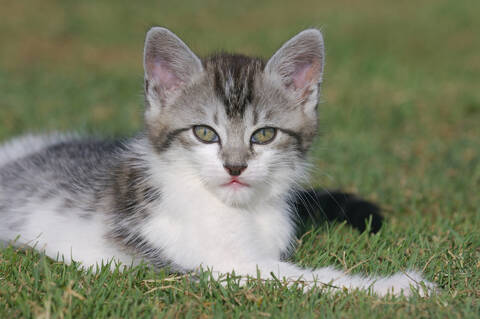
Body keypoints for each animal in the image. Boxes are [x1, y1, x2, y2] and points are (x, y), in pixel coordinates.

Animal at [0, 27, 436, 298]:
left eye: (264, 134)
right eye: (205, 133)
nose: (235, 167)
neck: (243, 210)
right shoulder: (220, 265)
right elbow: (304, 280)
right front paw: (398, 287)